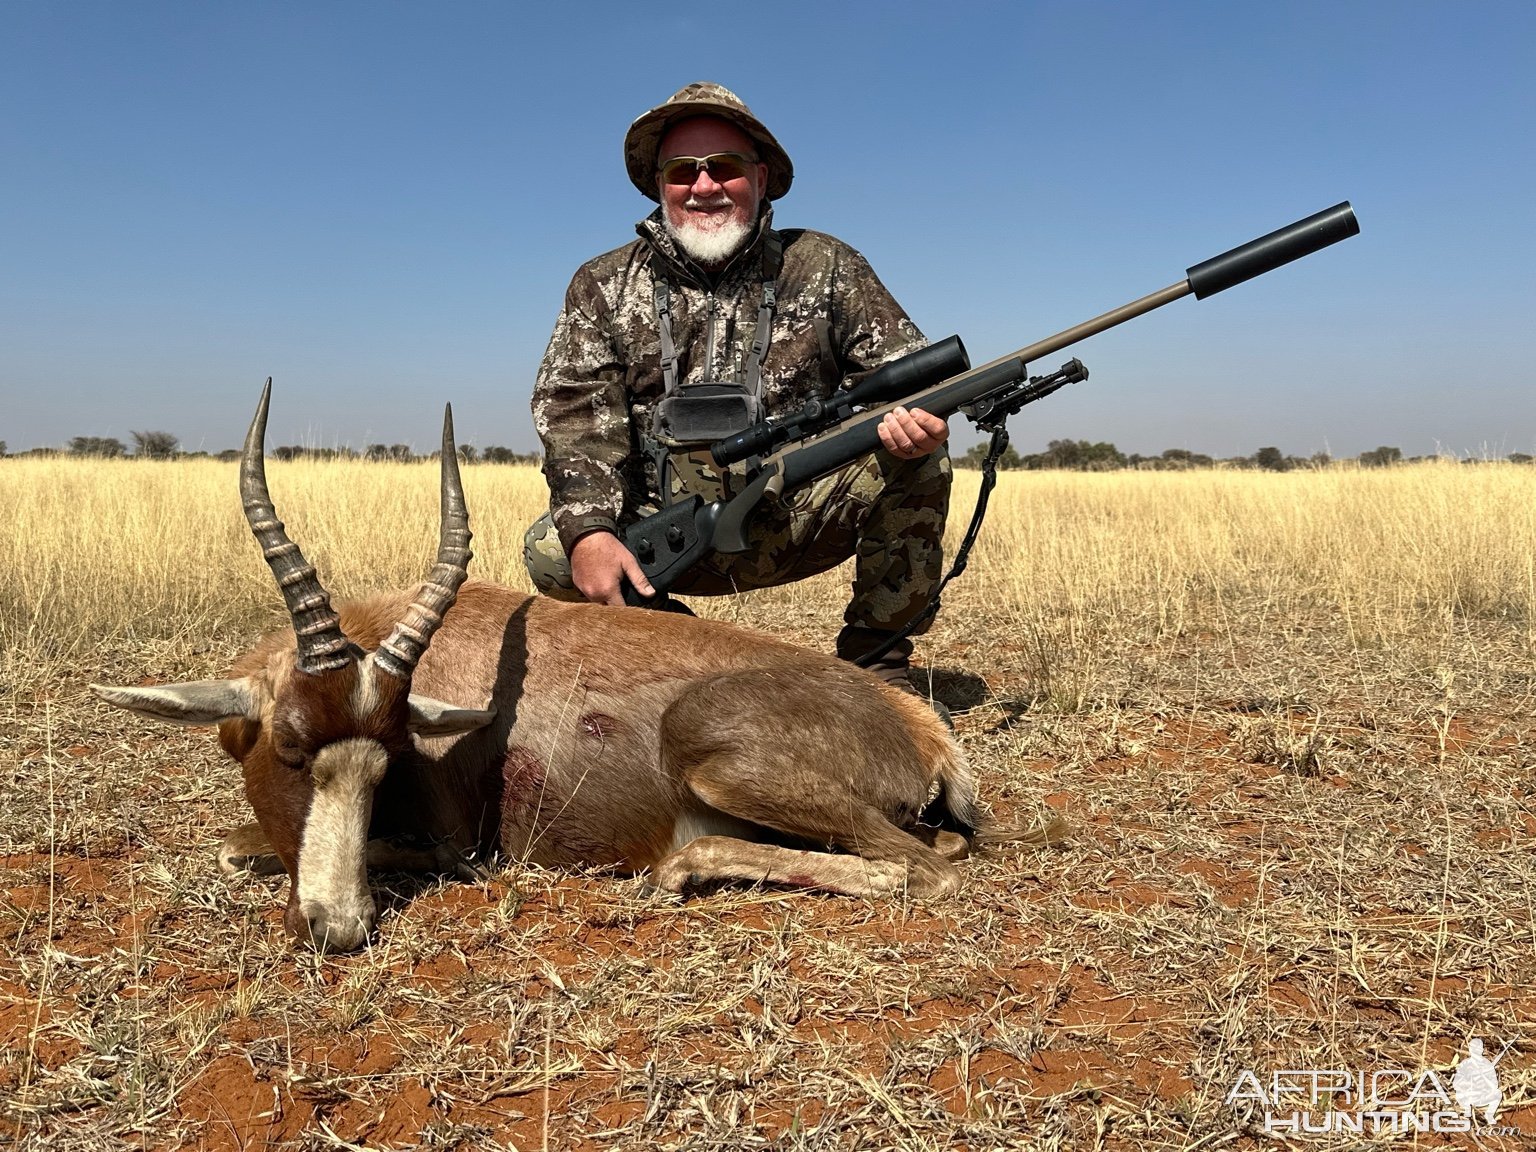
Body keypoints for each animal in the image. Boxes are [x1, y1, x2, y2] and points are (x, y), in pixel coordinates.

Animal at [89, 385, 1062, 946]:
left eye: (386, 760)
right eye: (292, 749)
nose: (338, 927)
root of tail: (919, 728)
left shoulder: (457, 845)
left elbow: (235, 847)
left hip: (718, 760)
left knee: (921, 868)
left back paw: (682, 869)